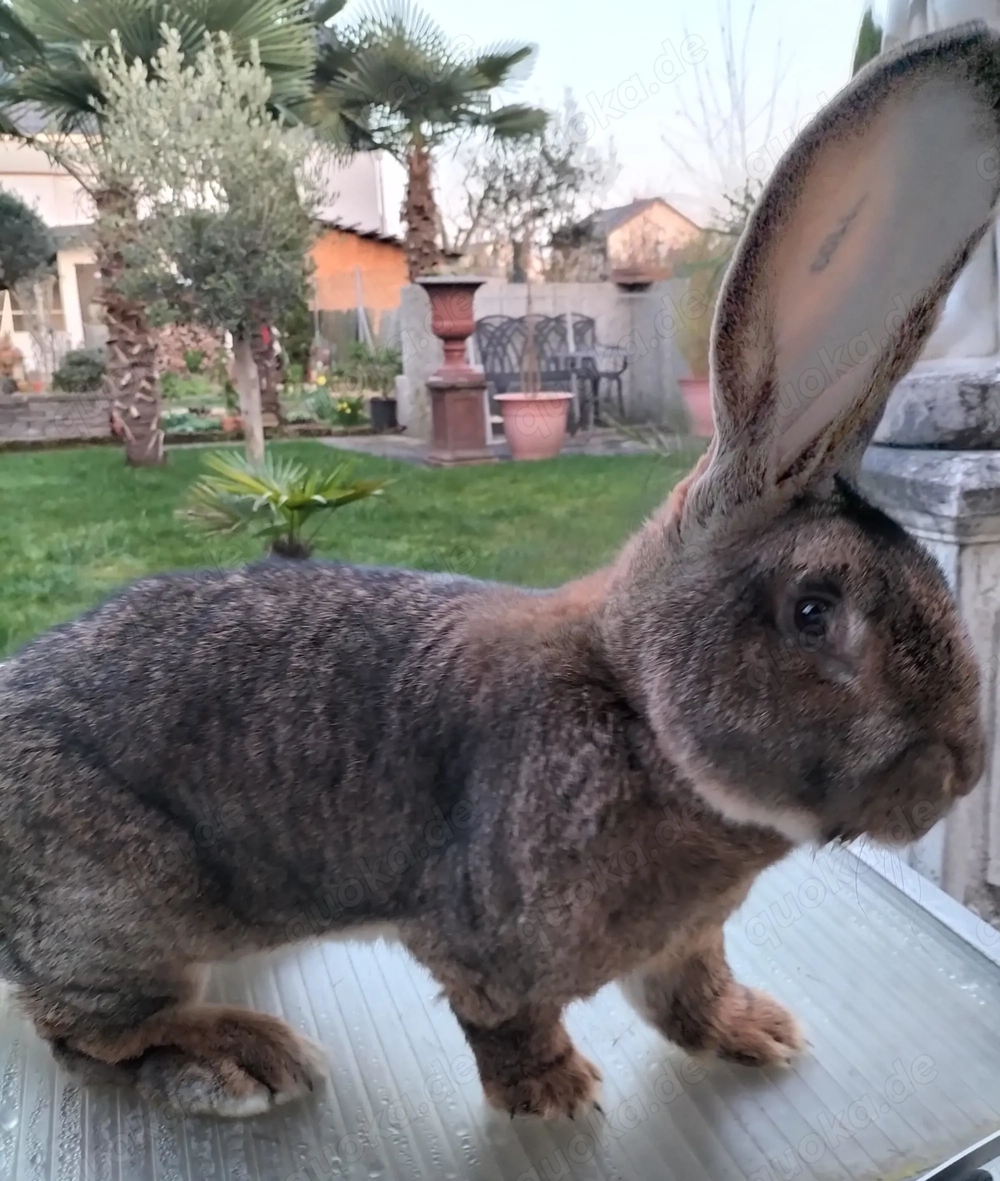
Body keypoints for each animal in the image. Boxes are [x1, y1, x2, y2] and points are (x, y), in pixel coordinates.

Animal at [0, 21, 998, 1122]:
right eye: (815, 610)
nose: (960, 770)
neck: (637, 714)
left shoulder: (686, 938)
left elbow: (692, 989)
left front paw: (756, 1031)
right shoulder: (484, 942)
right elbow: (506, 1019)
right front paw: (554, 1095)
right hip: (128, 910)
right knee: (83, 1027)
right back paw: (237, 1057)